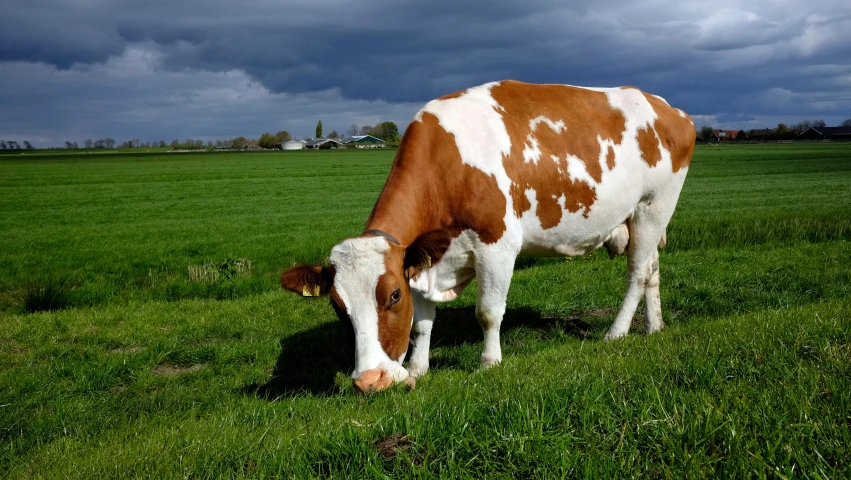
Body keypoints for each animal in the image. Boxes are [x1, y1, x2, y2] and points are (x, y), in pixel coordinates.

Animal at [282, 80, 696, 392]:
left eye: (393, 296)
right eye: (338, 307)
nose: (370, 381)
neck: (446, 164)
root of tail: (671, 110)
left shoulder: (497, 245)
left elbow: (488, 312)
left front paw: (489, 362)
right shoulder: (422, 259)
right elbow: (422, 322)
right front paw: (417, 368)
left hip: (654, 205)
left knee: (637, 274)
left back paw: (616, 332)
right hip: (641, 219)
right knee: (652, 270)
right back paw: (654, 327)